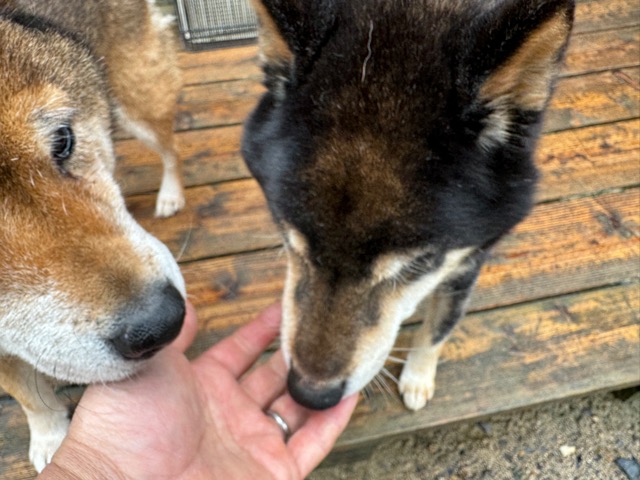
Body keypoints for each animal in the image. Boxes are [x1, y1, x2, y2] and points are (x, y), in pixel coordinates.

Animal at [0, 0, 186, 471]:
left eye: (62, 140)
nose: (163, 323)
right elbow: (28, 396)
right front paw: (52, 437)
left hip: (135, 102)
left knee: (169, 147)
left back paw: (171, 194)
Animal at [243, 0, 574, 411]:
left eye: (417, 265)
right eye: (289, 240)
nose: (309, 395)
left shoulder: (468, 256)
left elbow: (440, 327)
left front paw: (418, 376)